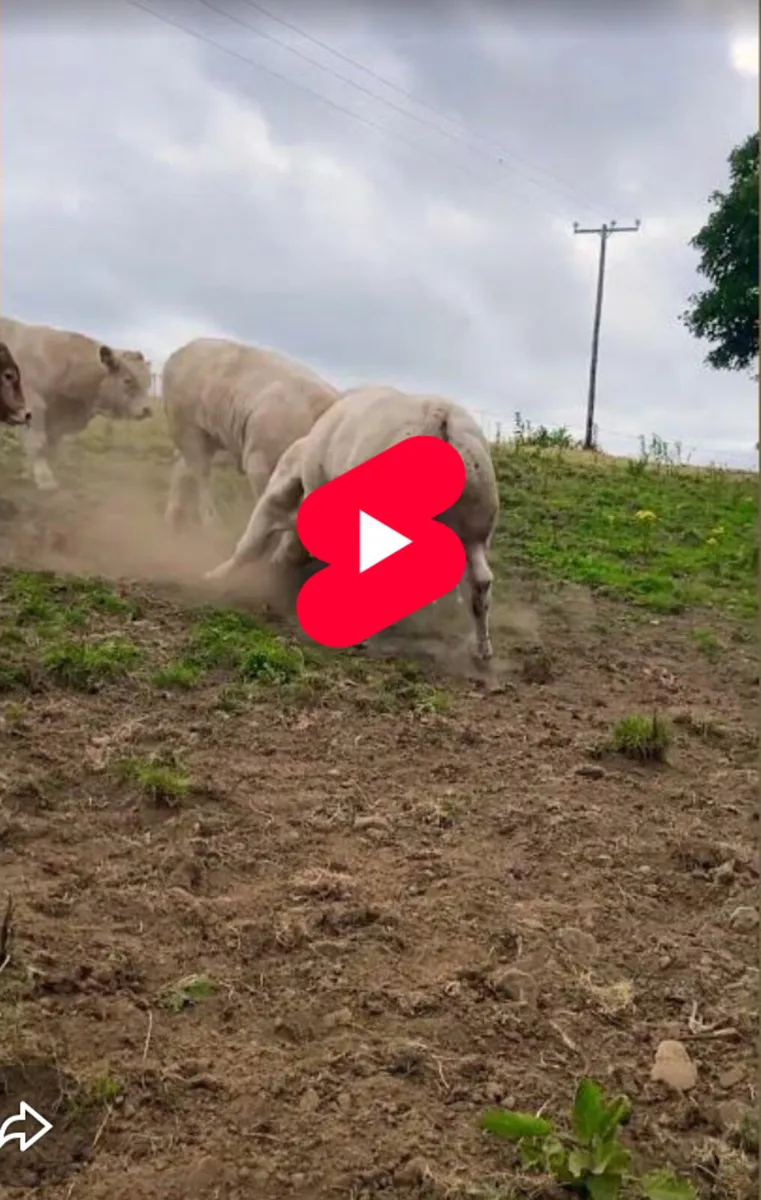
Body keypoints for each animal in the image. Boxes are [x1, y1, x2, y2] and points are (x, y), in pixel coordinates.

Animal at [0, 315, 153, 491]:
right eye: (127, 380)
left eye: (148, 381)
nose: (147, 410)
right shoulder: (34, 405)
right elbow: (37, 442)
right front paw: (45, 479)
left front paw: (27, 473)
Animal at [162, 337, 341, 531]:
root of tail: (181, 351)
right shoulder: (261, 462)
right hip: (189, 429)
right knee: (200, 475)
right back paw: (210, 524)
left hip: (207, 435)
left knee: (182, 471)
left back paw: (173, 524)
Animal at [205, 385, 500, 663]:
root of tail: (439, 417)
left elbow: (255, 544)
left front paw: (216, 577)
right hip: (474, 529)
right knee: (480, 583)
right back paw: (482, 648)